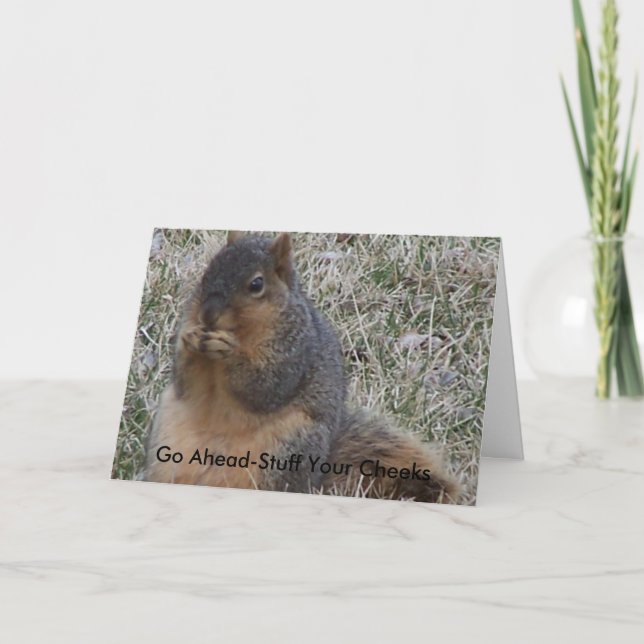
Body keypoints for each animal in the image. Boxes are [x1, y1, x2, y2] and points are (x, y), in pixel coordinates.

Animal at [141, 231, 463, 504]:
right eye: (209, 270)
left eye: (256, 284)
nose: (208, 314)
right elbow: (185, 382)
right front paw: (189, 340)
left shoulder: (295, 349)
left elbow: (266, 386)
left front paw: (229, 350)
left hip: (288, 446)